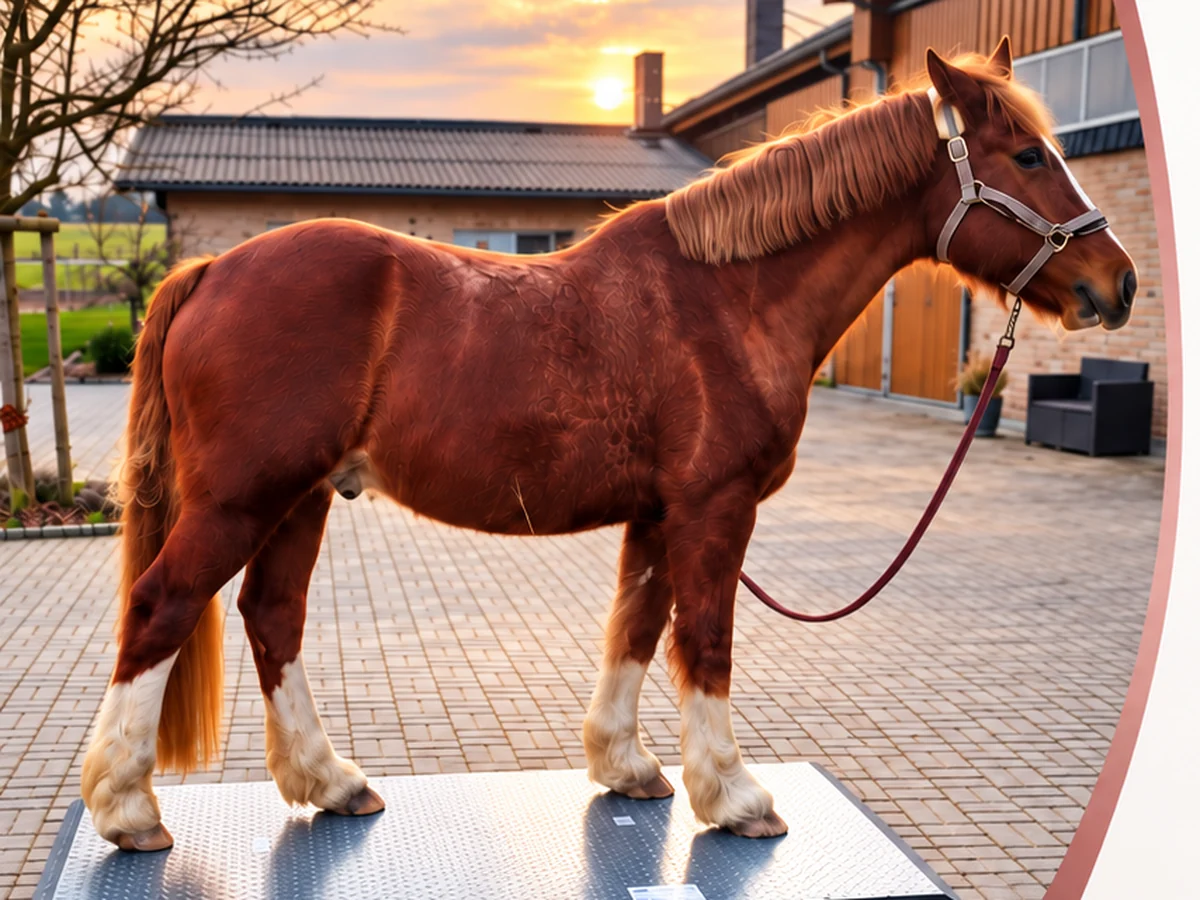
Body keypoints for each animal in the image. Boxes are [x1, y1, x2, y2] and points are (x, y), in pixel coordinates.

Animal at [80, 38, 1137, 851]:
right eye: (1030, 156)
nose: (1118, 283)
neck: (731, 296)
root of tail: (214, 269)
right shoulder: (715, 509)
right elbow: (703, 640)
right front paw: (736, 795)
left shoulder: (661, 515)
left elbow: (635, 625)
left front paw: (628, 768)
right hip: (242, 500)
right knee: (162, 607)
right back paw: (129, 810)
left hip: (298, 499)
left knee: (273, 617)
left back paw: (330, 781)